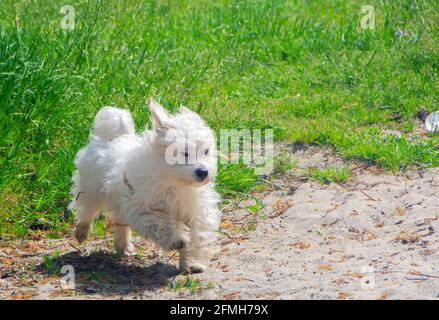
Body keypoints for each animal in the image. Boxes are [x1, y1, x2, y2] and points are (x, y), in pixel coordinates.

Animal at [71, 99, 223, 274]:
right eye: (184, 153)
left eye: (206, 151)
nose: (203, 172)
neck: (175, 182)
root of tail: (111, 138)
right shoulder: (144, 207)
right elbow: (162, 223)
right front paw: (176, 239)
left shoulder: (195, 212)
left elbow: (197, 237)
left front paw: (192, 263)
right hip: (91, 189)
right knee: (86, 210)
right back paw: (81, 232)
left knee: (119, 223)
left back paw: (124, 247)